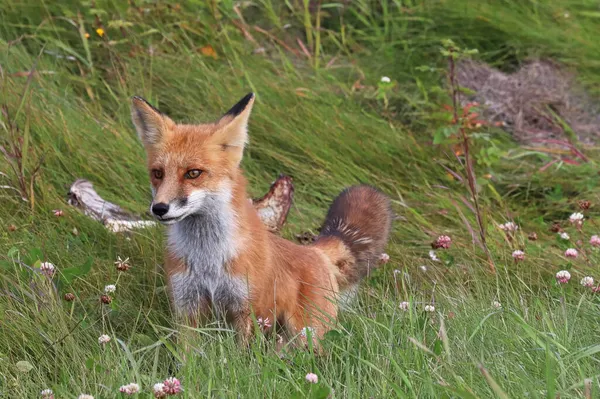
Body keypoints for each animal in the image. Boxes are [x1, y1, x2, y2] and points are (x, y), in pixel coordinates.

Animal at [131, 94, 394, 346]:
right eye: (158, 174)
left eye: (193, 173)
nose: (159, 208)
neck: (208, 260)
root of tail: (315, 251)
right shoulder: (187, 307)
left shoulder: (246, 309)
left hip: (306, 335)